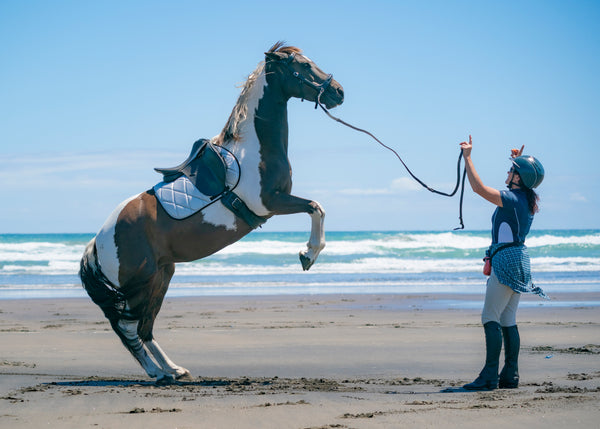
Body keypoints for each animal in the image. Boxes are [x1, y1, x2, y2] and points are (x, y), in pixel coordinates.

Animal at [78, 41, 342, 382]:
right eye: (304, 65)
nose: (338, 92)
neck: (252, 151)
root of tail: (97, 243)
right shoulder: (271, 202)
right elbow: (316, 208)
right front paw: (308, 254)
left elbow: (316, 207)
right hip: (143, 282)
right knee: (129, 328)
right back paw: (157, 373)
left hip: (162, 275)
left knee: (144, 329)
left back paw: (172, 370)